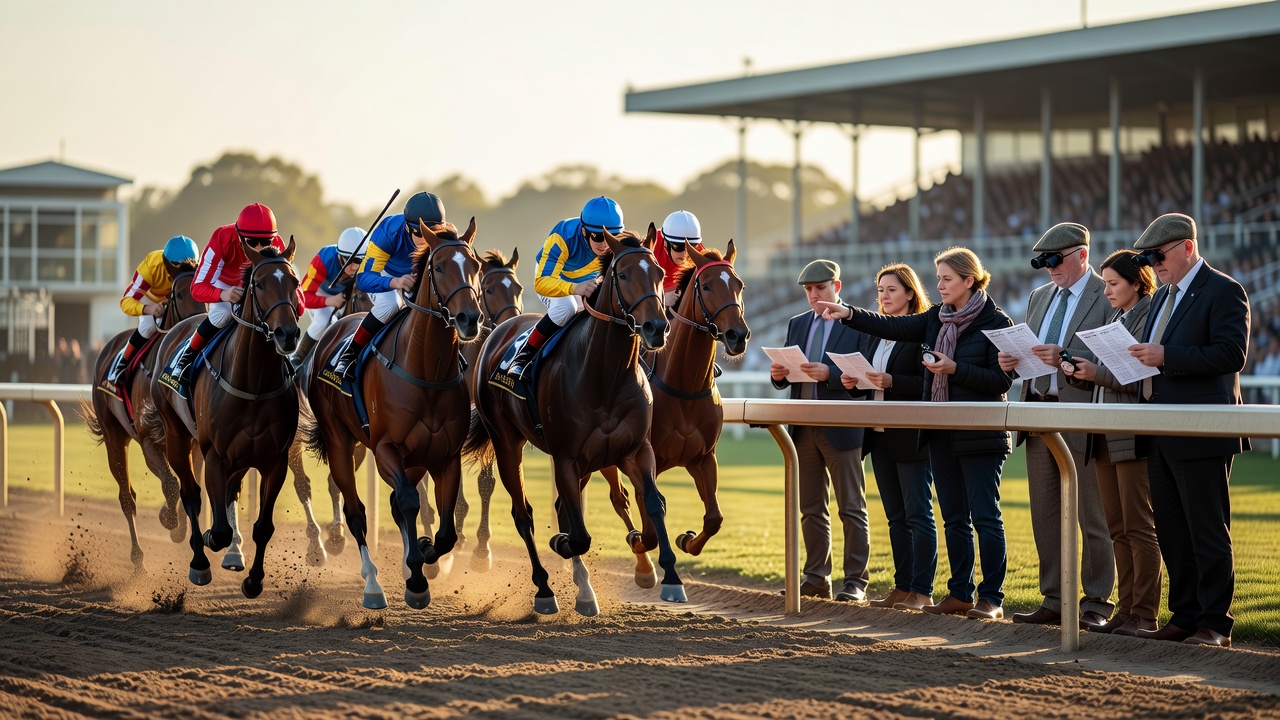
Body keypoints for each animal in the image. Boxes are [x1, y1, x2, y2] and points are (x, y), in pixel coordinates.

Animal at [80, 268, 205, 569]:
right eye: (179, 294)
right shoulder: (149, 440)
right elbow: (172, 484)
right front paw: (169, 519)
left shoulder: (192, 442)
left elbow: (189, 484)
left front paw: (179, 526)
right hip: (114, 437)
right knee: (127, 497)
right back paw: (137, 559)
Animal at [146, 240, 303, 598]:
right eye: (260, 284)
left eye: (295, 283)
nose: (287, 334)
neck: (253, 384)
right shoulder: (215, 455)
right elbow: (216, 529)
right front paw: (210, 542)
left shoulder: (274, 461)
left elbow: (264, 526)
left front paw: (254, 580)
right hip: (177, 436)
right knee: (190, 494)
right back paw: (200, 563)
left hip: (242, 457)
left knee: (230, 493)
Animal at [304, 219, 483, 610]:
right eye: (439, 267)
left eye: (475, 265)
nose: (470, 319)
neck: (427, 372)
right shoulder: (385, 448)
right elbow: (407, 501)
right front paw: (415, 579)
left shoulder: (445, 456)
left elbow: (445, 531)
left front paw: (425, 553)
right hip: (340, 443)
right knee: (356, 512)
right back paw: (373, 584)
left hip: (414, 459)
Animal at [464, 225, 675, 616]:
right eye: (624, 275)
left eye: (658, 273)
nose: (656, 327)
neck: (605, 376)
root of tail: (500, 331)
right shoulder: (566, 457)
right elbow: (577, 534)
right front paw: (560, 544)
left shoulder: (635, 449)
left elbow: (654, 505)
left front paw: (660, 569)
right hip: (506, 442)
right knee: (523, 514)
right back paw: (546, 590)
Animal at [598, 241, 750, 587]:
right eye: (706, 286)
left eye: (739, 285)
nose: (738, 335)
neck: (685, 386)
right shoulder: (641, 458)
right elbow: (650, 525)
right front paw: (642, 545)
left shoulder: (703, 458)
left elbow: (714, 518)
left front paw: (687, 540)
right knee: (618, 498)